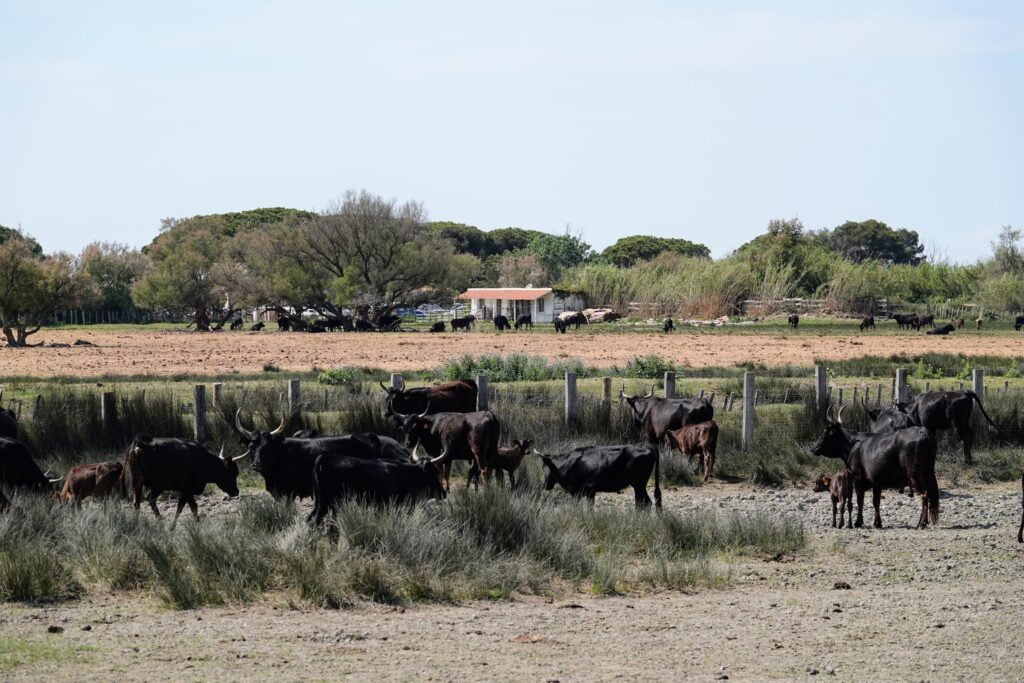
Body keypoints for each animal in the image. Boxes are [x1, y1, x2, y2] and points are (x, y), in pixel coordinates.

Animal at [307, 456, 444, 528]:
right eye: (434, 473)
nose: (444, 492)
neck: (408, 473)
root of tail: (325, 458)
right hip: (333, 503)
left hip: (321, 502)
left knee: (312, 519)